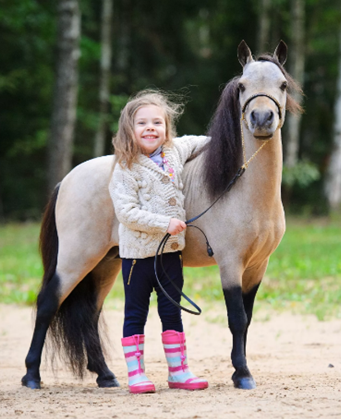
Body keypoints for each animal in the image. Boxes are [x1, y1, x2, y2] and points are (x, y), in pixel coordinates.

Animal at [22, 41, 302, 392]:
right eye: (242, 86)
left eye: (282, 85)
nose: (262, 118)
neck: (241, 188)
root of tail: (68, 179)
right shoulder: (231, 264)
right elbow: (236, 319)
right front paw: (243, 374)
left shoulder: (256, 267)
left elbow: (247, 319)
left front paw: (240, 370)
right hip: (76, 259)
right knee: (48, 303)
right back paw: (32, 375)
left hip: (106, 264)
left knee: (89, 313)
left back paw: (105, 375)